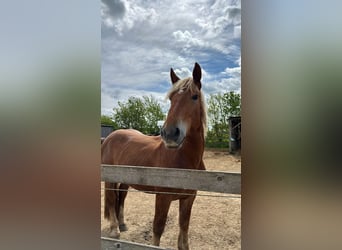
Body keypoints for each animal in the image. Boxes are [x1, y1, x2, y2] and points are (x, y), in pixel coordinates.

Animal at [100, 62, 207, 250]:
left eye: (194, 97)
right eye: (171, 99)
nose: (170, 133)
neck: (185, 161)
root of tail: (110, 137)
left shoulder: (189, 199)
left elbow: (184, 226)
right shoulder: (163, 197)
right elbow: (158, 227)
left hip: (126, 180)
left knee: (121, 197)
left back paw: (122, 224)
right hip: (110, 179)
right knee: (112, 200)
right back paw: (114, 230)